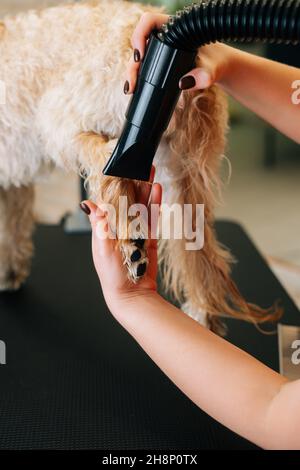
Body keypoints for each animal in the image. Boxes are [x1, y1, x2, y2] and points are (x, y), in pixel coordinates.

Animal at [0, 0, 280, 330]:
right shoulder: (13, 177)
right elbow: (13, 221)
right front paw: (10, 270)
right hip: (180, 175)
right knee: (198, 252)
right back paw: (200, 315)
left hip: (64, 114)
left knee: (104, 161)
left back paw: (131, 239)